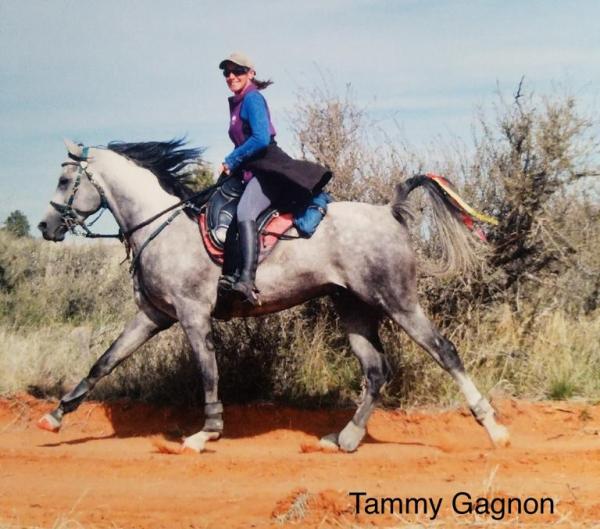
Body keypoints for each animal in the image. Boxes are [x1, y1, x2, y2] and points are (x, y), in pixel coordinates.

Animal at [35, 138, 508, 452]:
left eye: (63, 178)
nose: (45, 227)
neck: (158, 225)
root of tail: (388, 212)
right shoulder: (154, 315)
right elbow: (104, 362)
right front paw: (55, 417)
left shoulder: (192, 315)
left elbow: (208, 372)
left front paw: (205, 432)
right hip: (353, 307)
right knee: (375, 370)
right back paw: (346, 437)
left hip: (398, 302)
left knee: (443, 351)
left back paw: (492, 427)